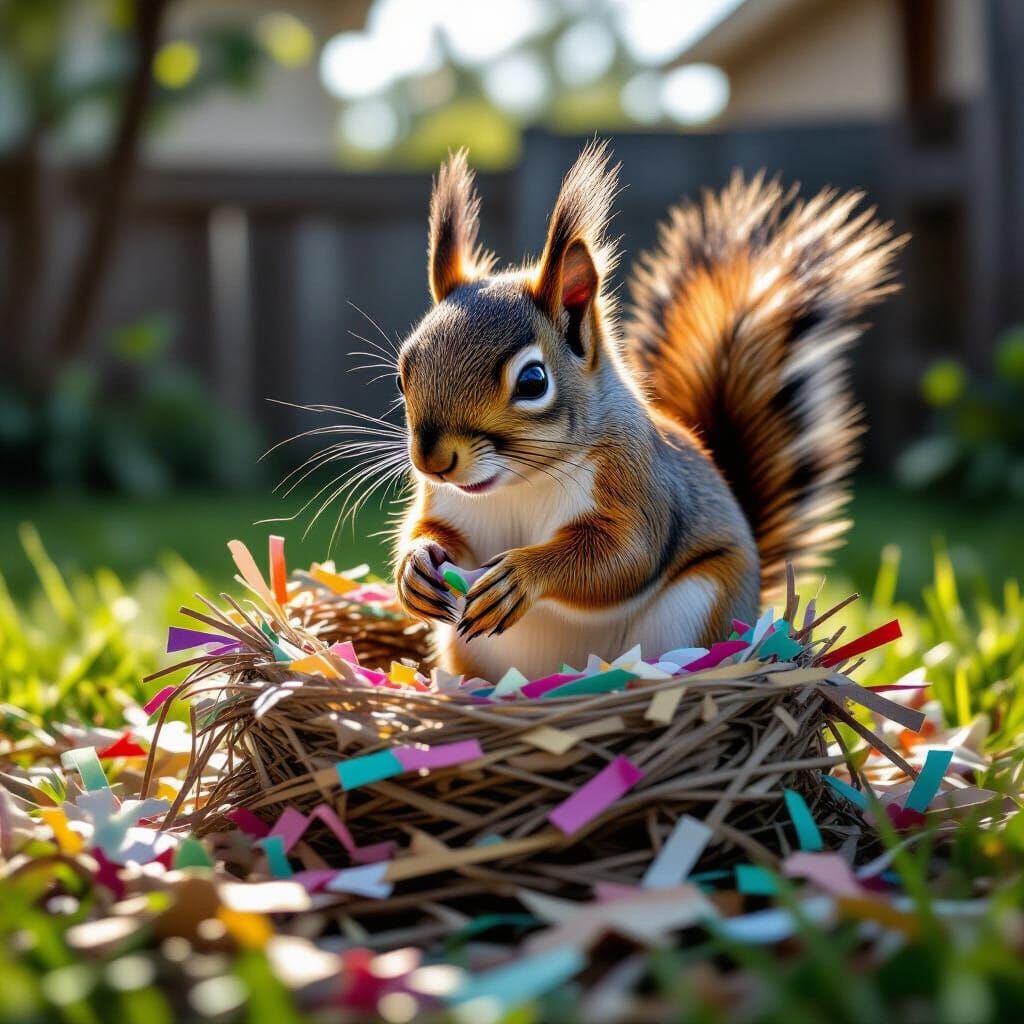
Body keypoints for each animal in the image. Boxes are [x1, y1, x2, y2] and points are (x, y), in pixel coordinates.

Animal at [392, 142, 904, 682]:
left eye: (533, 381)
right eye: (403, 374)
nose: (432, 462)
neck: (520, 483)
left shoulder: (637, 485)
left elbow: (623, 557)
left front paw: (522, 574)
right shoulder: (447, 505)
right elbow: (432, 532)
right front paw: (414, 567)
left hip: (697, 604)